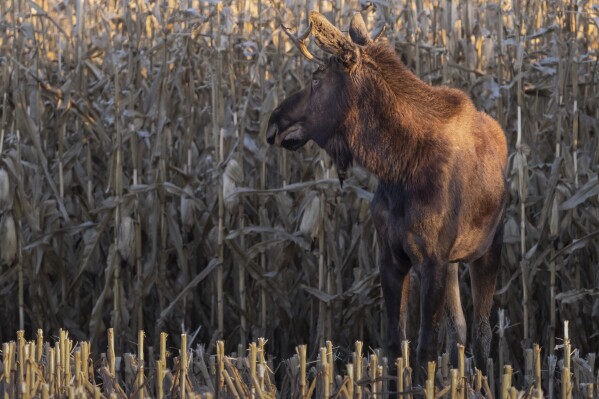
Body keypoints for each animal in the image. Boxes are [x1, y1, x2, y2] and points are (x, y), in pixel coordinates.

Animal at [268, 11, 506, 376]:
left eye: (317, 78)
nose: (273, 122)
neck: (397, 168)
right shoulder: (392, 257)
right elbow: (395, 345)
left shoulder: (432, 261)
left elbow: (425, 350)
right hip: (454, 262)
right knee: (460, 331)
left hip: (489, 248)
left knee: (481, 335)